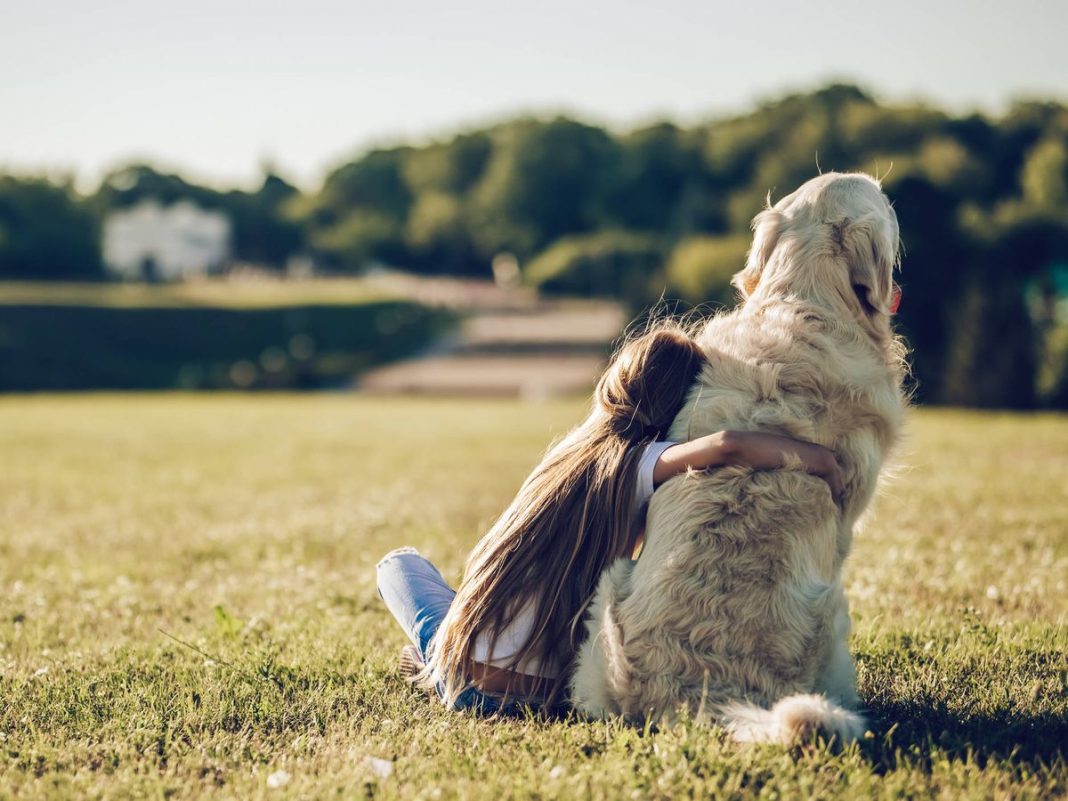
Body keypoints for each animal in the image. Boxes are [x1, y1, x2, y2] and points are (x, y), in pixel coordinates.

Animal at [572, 174, 905, 747]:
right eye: (884, 202)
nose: (891, 192)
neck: (805, 302)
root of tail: (699, 691)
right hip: (834, 612)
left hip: (607, 594)